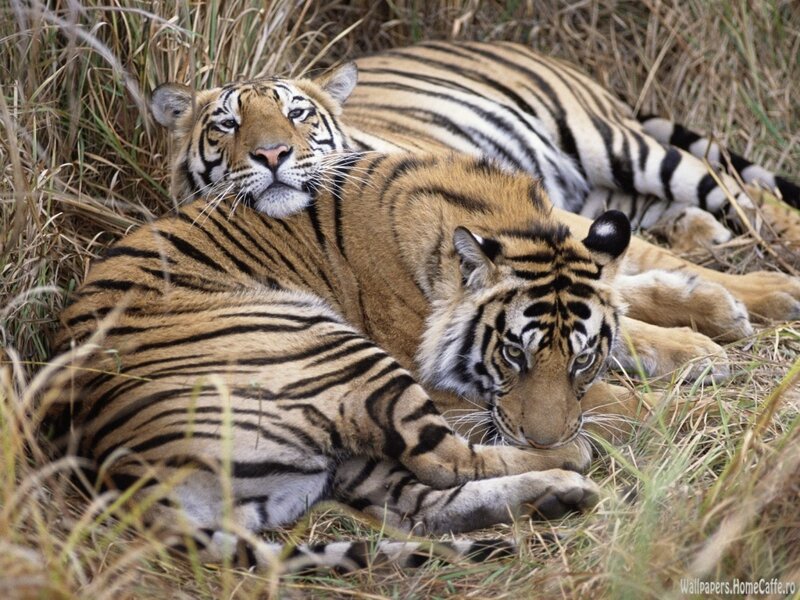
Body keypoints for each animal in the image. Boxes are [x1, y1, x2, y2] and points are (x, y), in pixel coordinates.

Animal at [48, 149, 646, 572]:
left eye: (583, 359)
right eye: (513, 352)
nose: (545, 438)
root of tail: (126, 472)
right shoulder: (441, 383)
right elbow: (615, 403)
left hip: (337, 456)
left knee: (416, 506)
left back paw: (558, 493)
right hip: (336, 350)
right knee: (446, 461)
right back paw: (570, 464)